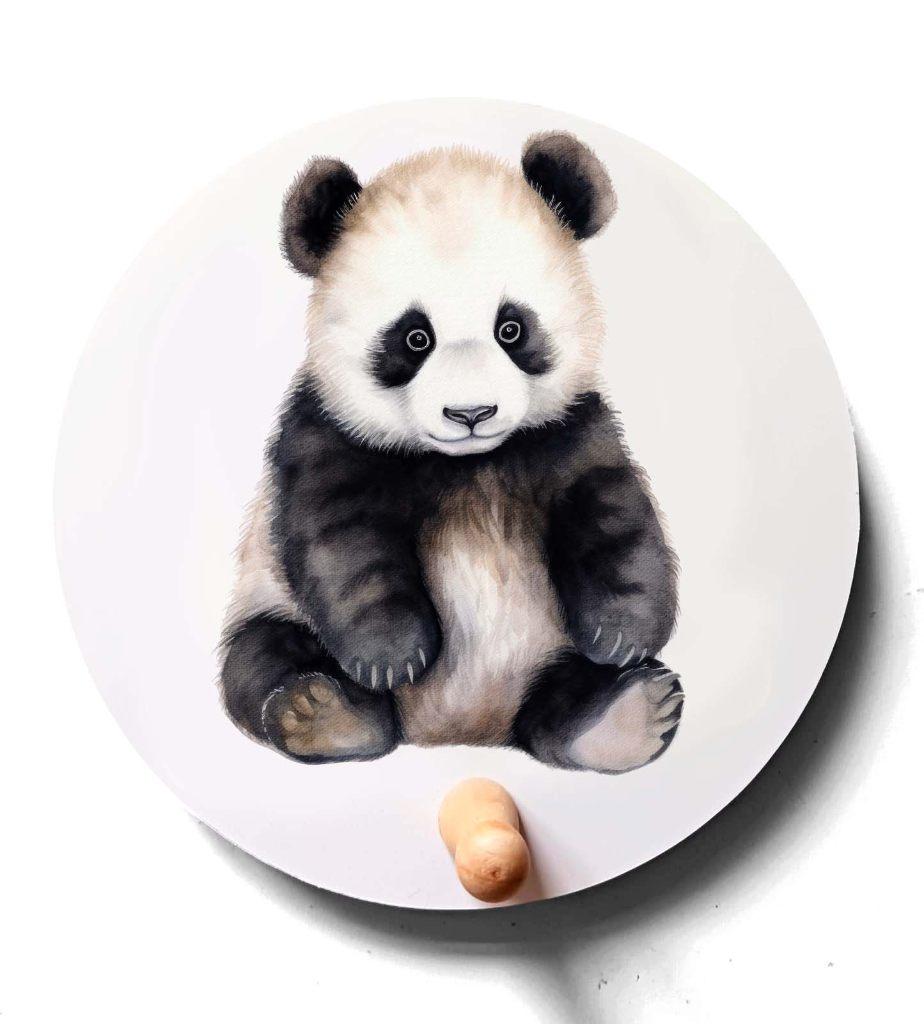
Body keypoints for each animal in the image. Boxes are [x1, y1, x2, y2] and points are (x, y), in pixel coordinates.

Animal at [219, 131, 682, 775]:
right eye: (415, 337)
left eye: (511, 329)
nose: (471, 414)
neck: (465, 465)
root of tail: (461, 730)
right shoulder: (325, 431)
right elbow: (340, 540)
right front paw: (391, 654)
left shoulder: (570, 427)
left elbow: (613, 513)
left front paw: (622, 635)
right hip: (264, 600)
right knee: (260, 655)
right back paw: (324, 714)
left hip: (546, 653)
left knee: (557, 706)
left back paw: (623, 716)